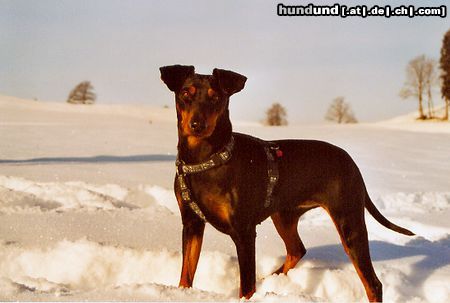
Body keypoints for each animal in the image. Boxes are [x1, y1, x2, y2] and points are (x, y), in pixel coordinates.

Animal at [161, 65, 414, 302]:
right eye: (185, 93)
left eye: (216, 97)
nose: (197, 124)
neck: (205, 160)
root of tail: (352, 163)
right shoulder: (191, 223)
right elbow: (186, 274)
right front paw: (181, 294)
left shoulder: (243, 232)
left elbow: (246, 286)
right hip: (284, 215)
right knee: (297, 250)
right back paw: (271, 278)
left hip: (348, 224)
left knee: (373, 283)